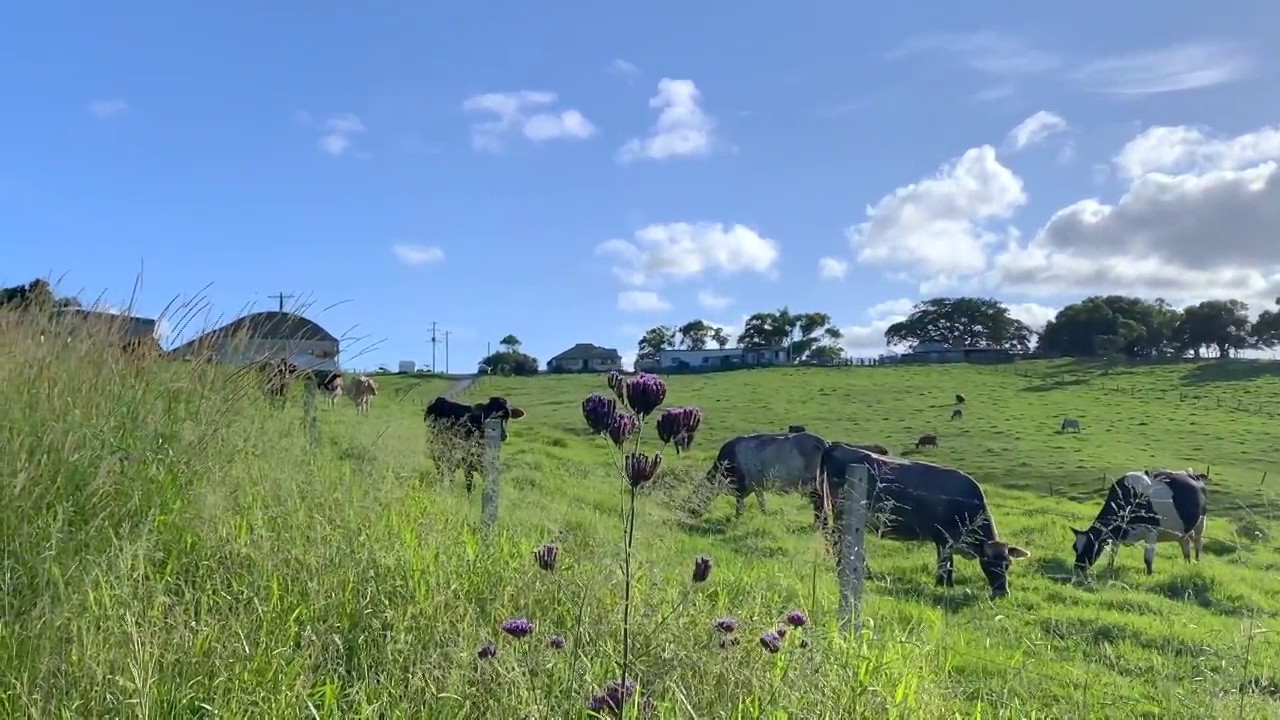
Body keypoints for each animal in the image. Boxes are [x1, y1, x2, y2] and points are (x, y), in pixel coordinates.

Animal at [696, 427, 834, 517]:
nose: (694, 512)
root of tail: (822, 442)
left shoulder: (740, 489)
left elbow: (739, 508)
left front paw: (736, 519)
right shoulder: (758, 488)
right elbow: (762, 503)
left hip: (811, 484)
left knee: (820, 503)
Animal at [814, 445, 1034, 597]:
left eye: (1007, 564)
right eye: (987, 563)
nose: (1002, 592)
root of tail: (837, 446)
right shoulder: (944, 538)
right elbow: (946, 563)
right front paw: (943, 584)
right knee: (840, 542)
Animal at [1075, 468, 1203, 573]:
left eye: (1090, 546)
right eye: (1074, 548)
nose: (1077, 568)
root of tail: (1191, 474)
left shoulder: (1151, 532)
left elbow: (1148, 559)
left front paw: (1149, 575)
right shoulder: (1117, 533)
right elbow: (1113, 553)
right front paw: (1109, 568)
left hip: (1201, 523)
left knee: (1197, 543)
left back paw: (1197, 562)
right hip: (1183, 531)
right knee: (1185, 545)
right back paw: (1187, 563)